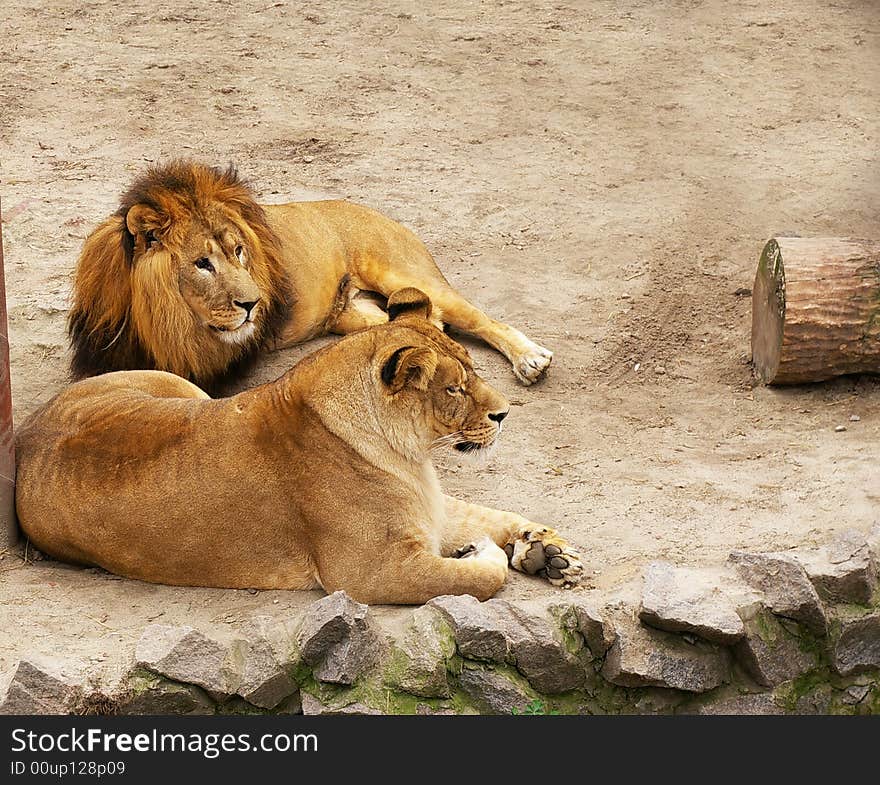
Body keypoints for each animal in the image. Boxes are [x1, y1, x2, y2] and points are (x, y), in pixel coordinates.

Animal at [17, 290, 580, 604]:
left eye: (472, 372)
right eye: (455, 389)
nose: (504, 414)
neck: (409, 458)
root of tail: (25, 434)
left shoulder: (429, 510)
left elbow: (488, 514)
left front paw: (545, 552)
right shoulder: (372, 572)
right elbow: (475, 579)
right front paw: (484, 553)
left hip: (179, 388)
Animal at [70, 160, 552, 392]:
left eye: (239, 252)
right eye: (202, 263)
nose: (254, 305)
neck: (159, 320)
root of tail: (373, 210)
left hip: (405, 274)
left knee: (483, 320)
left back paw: (531, 360)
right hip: (355, 315)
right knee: (420, 322)